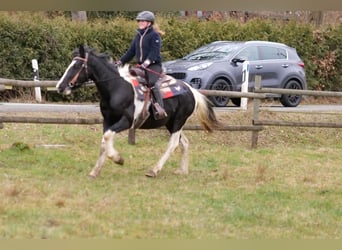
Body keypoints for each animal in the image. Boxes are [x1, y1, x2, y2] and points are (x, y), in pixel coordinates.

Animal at [54, 45, 218, 178]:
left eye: (77, 65)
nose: (60, 87)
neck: (117, 88)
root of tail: (192, 91)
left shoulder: (126, 121)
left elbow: (107, 138)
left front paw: (118, 159)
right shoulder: (107, 121)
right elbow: (104, 141)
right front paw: (95, 171)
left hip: (178, 121)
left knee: (173, 144)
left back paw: (154, 170)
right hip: (171, 123)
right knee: (184, 142)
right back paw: (182, 170)